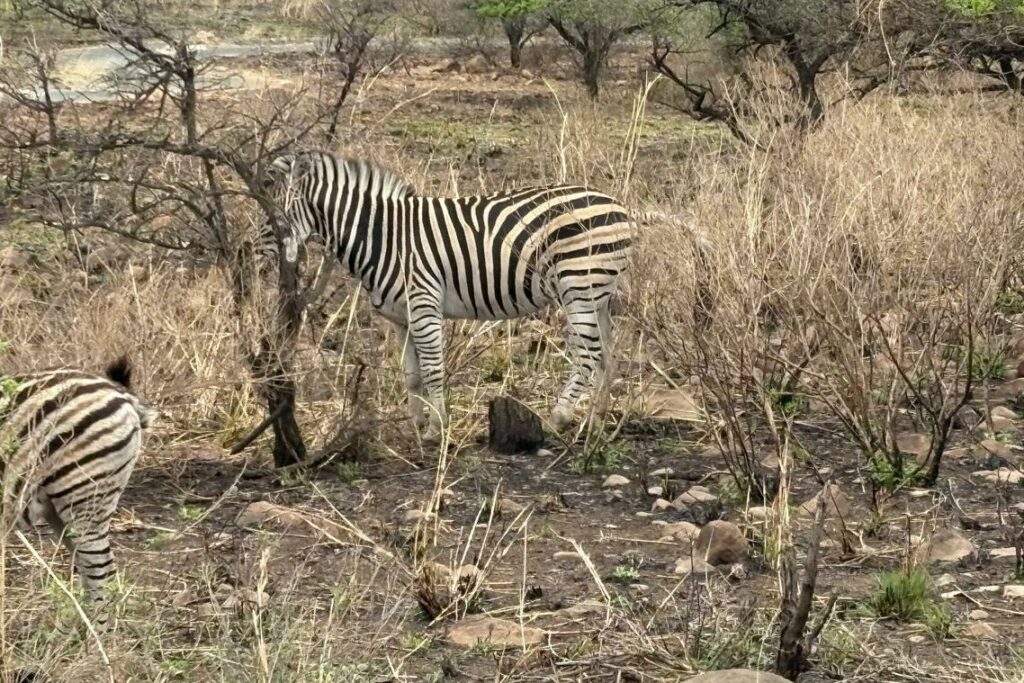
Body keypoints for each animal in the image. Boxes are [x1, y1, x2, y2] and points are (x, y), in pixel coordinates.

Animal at [1, 357, 156, 631]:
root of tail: (116, 390)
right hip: (63, 510)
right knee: (94, 572)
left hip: (85, 500)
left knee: (102, 575)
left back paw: (96, 639)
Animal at [261, 150, 634, 444]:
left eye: (274, 216)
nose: (257, 259)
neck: (382, 237)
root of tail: (619, 206)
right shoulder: (401, 318)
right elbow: (412, 376)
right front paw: (418, 425)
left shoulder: (424, 304)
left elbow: (432, 370)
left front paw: (438, 427)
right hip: (596, 293)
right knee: (607, 353)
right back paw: (596, 420)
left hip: (578, 284)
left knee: (588, 354)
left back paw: (558, 417)